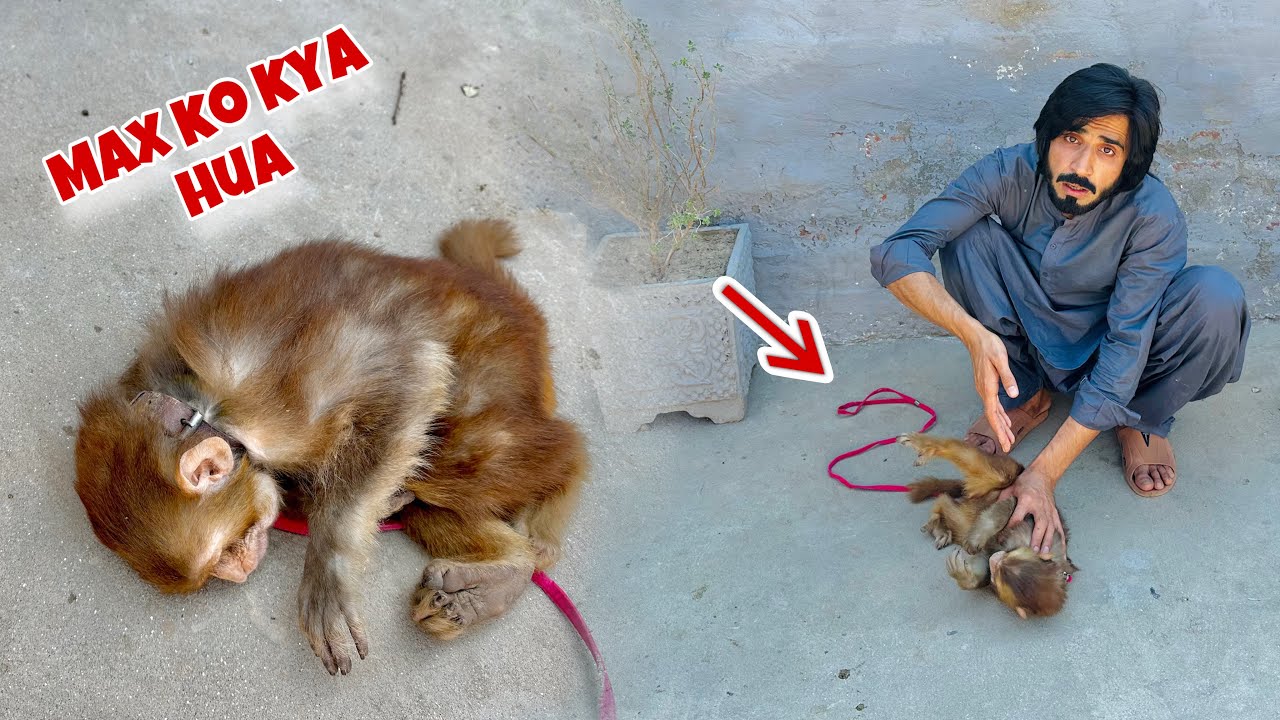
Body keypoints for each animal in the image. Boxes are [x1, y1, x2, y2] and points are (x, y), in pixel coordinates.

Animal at [73, 218, 588, 675]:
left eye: (227, 551)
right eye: (219, 568)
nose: (241, 572)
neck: (200, 403)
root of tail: (518, 307)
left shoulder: (285, 403)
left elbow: (413, 373)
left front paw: (328, 566)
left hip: (501, 362)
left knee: (463, 449)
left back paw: (560, 479)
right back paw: (502, 574)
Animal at [896, 432, 1078, 619]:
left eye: (999, 572)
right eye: (1007, 559)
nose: (995, 559)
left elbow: (983, 566)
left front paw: (966, 577)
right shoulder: (1033, 520)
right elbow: (1012, 505)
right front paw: (980, 536)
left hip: (967, 510)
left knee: (948, 504)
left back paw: (939, 522)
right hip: (1008, 479)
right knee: (995, 473)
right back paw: (928, 445)